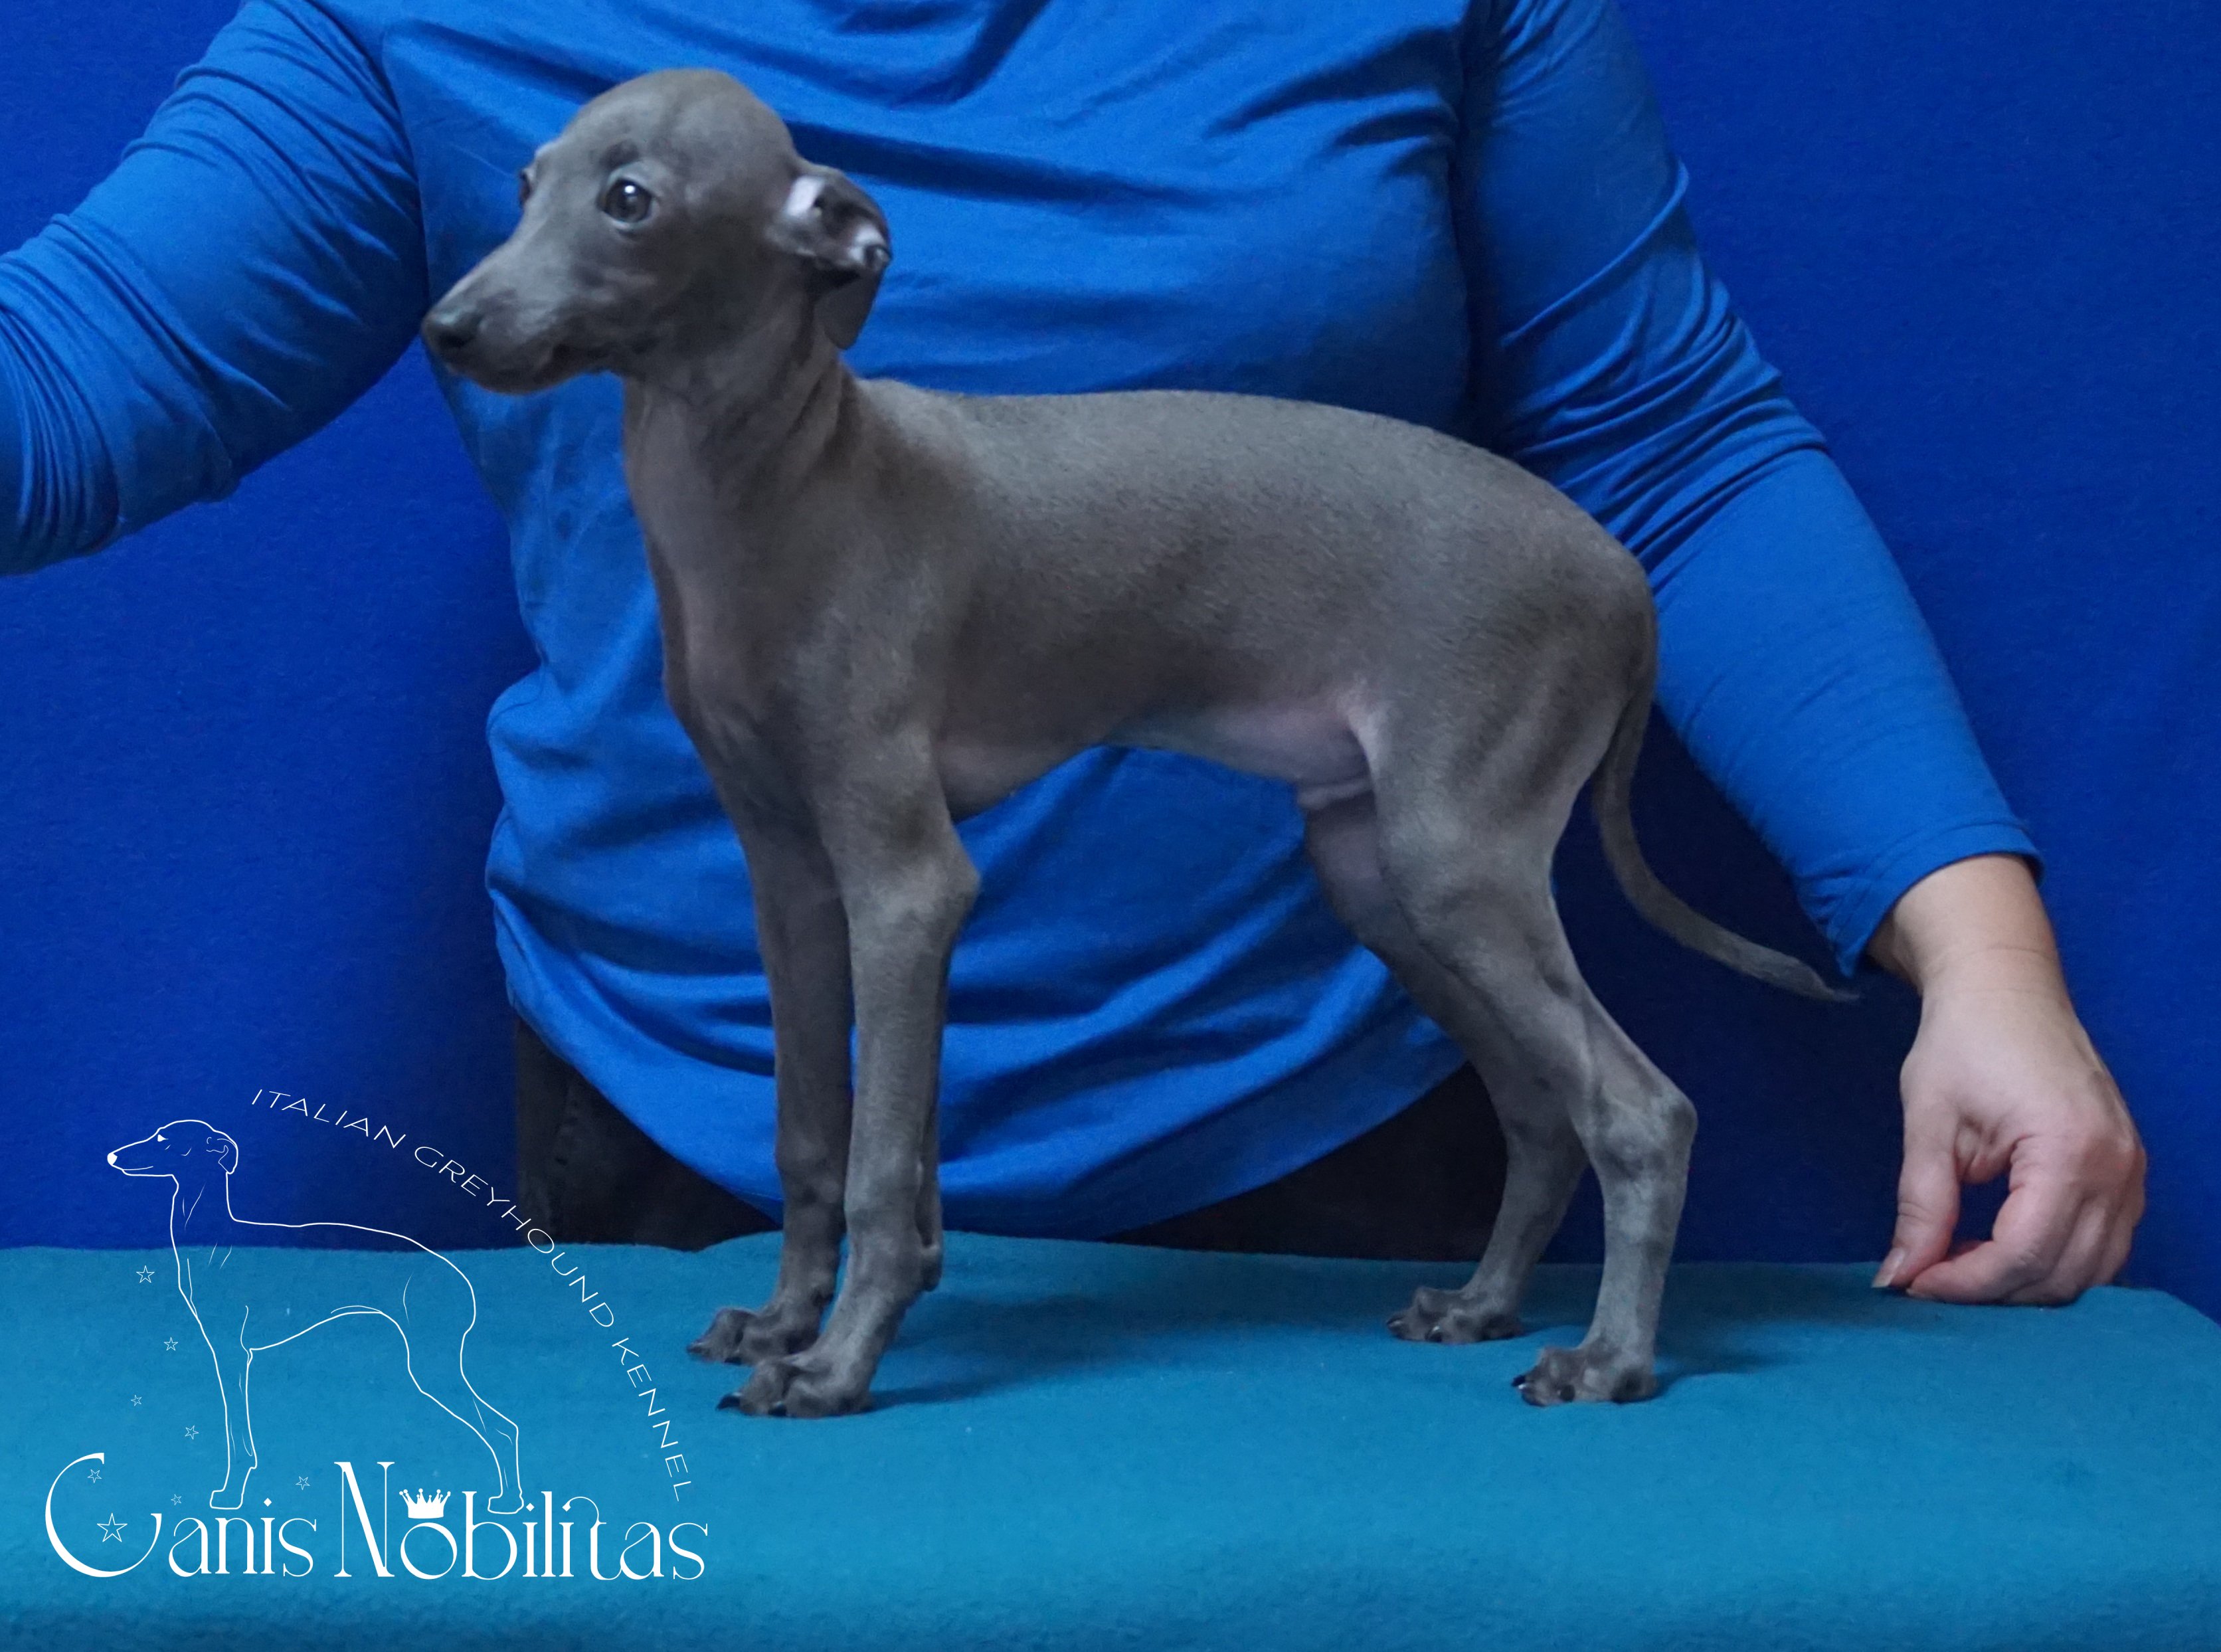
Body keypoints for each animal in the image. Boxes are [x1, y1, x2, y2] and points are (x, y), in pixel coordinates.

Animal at [108, 1121, 526, 1511]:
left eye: (164, 1139)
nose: (112, 1156)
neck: (215, 1240)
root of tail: (458, 1277)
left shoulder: (232, 1354)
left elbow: (237, 1434)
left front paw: (231, 1494)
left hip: (431, 1364)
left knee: (504, 1430)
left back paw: (510, 1501)